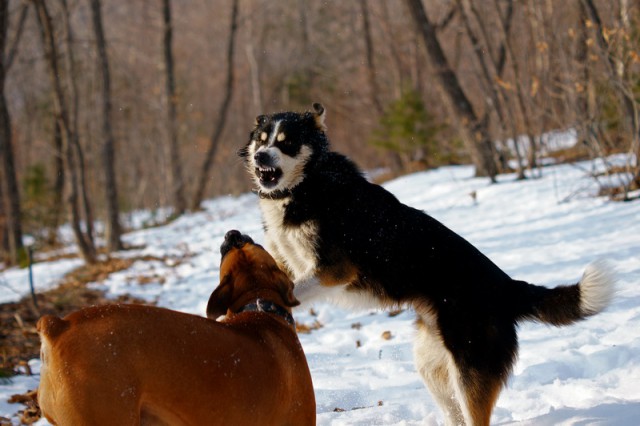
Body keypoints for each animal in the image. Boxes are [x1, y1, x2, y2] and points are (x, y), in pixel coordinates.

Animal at [239, 103, 616, 426]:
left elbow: (295, 288)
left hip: (470, 371)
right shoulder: (289, 262)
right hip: (432, 367)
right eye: (262, 139)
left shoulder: (333, 270)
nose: (260, 156)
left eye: (287, 143)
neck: (308, 183)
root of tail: (506, 287)